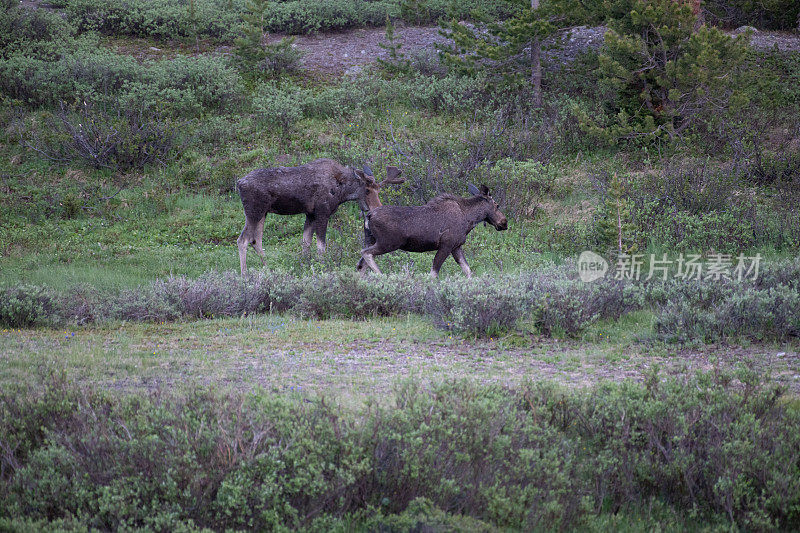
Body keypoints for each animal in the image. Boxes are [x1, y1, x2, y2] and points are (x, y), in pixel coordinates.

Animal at [234, 157, 404, 274]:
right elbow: (321, 246)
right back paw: (245, 274)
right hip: (254, 211)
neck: (342, 191)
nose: (378, 208)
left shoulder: (310, 214)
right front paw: (324, 267)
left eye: (379, 190)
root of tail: (239, 183)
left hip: (262, 213)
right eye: (367, 190)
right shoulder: (322, 212)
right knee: (243, 240)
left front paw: (305, 266)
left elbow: (306, 244)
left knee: (256, 240)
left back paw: (268, 269)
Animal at [360, 184, 510, 278]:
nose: (504, 222)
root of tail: (369, 215)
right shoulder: (446, 245)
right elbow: (433, 273)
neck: (469, 219)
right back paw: (381, 275)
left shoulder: (456, 247)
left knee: (361, 264)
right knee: (365, 253)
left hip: (372, 240)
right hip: (388, 243)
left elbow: (468, 271)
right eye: (497, 205)